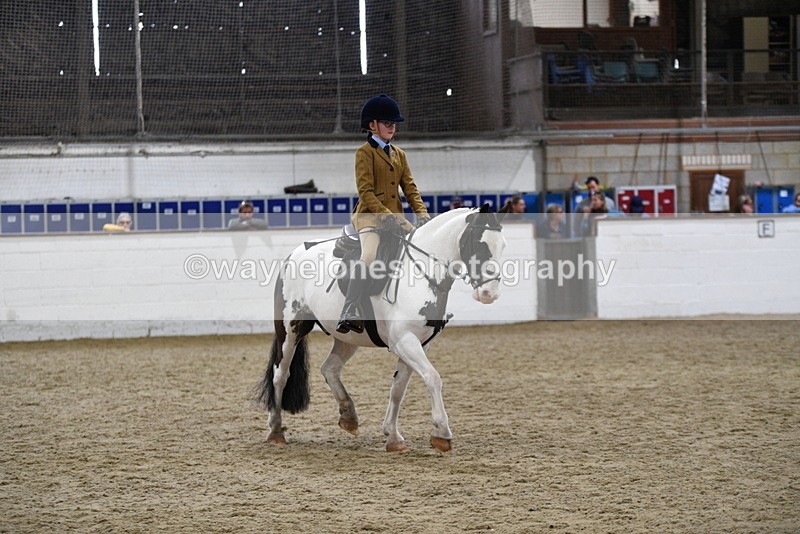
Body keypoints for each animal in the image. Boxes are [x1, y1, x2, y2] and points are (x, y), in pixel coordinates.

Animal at [255, 204, 507, 452]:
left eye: (502, 246)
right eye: (481, 245)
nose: (490, 294)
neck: (420, 272)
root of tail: (294, 253)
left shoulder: (419, 343)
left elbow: (399, 388)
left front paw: (393, 436)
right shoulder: (404, 340)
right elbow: (432, 377)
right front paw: (442, 432)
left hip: (347, 337)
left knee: (330, 369)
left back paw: (349, 416)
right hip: (291, 329)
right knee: (281, 375)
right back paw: (275, 431)